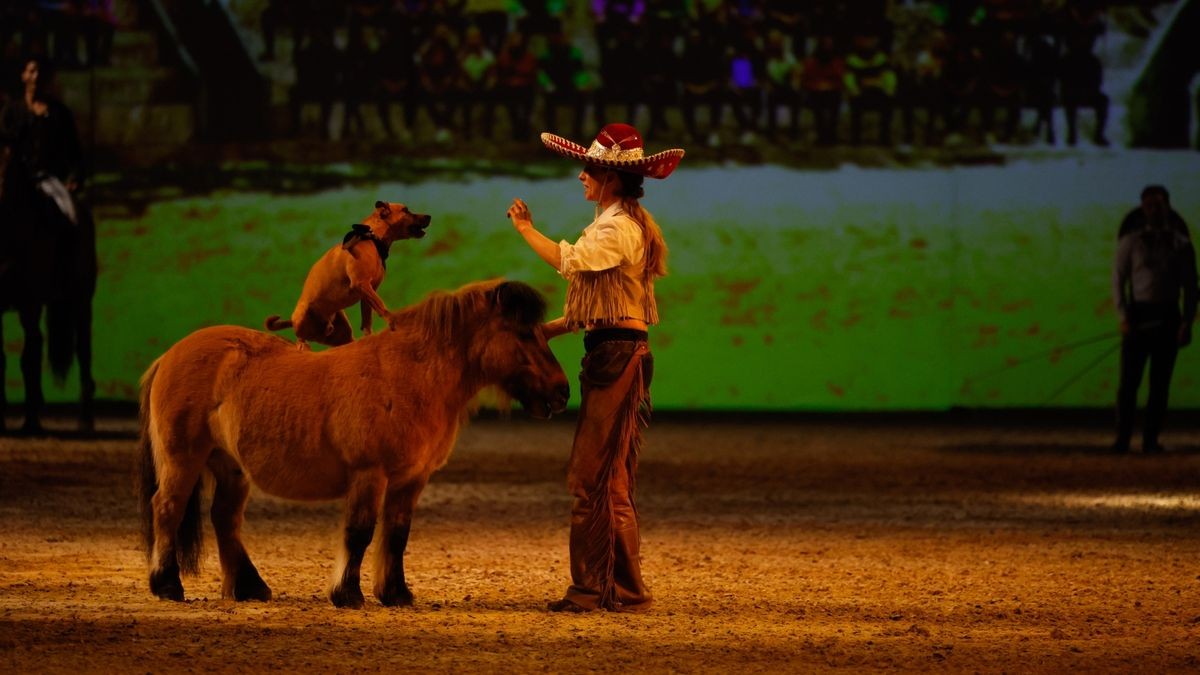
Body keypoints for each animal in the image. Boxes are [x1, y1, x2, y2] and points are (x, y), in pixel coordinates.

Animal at [138, 277, 568, 605]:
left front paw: (396, 594)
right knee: (167, 509)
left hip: (231, 468)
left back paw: (248, 588)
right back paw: (168, 585)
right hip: (183, 459)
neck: (409, 374)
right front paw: (347, 593)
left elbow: (396, 534)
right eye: (524, 332)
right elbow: (359, 531)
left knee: (224, 519)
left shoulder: (411, 480)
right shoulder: (369, 473)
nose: (562, 392)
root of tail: (169, 355)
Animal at [267, 198, 432, 345]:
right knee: (300, 337)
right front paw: (393, 323)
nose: (429, 216)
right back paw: (302, 345)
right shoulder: (362, 284)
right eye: (405, 210)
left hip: (341, 331)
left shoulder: (368, 292)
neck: (372, 237)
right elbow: (382, 306)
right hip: (302, 314)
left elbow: (367, 320)